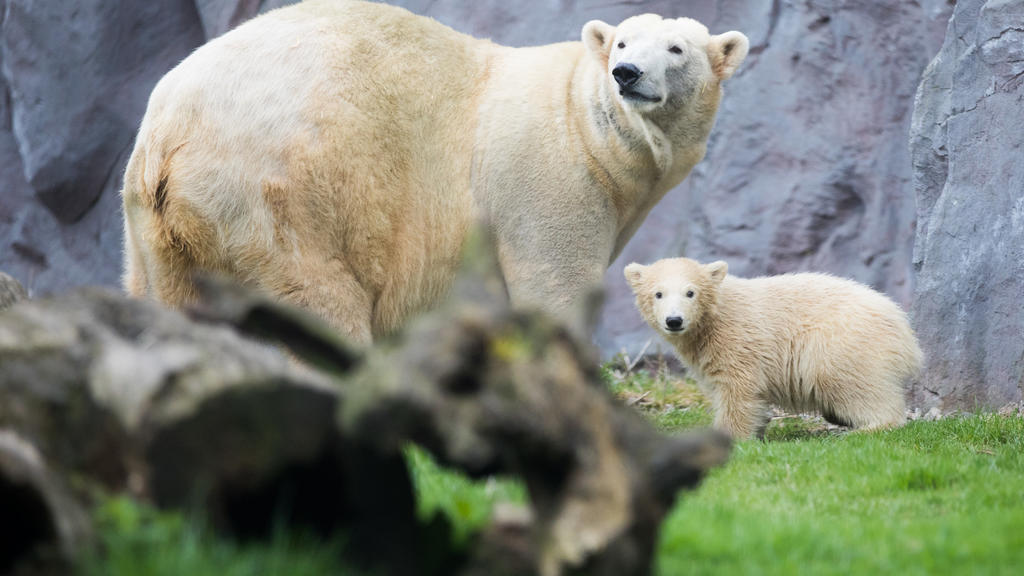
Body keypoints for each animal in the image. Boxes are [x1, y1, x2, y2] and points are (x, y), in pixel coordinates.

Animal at [119, 0, 749, 342]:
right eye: (622, 41)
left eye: (676, 48)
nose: (627, 73)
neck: (590, 124)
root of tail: (170, 130)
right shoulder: (546, 175)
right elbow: (555, 282)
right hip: (282, 189)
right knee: (319, 293)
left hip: (156, 227)